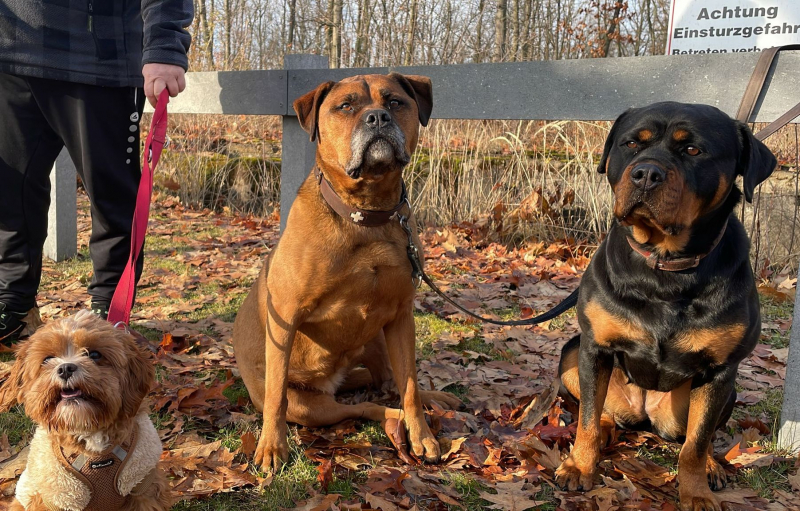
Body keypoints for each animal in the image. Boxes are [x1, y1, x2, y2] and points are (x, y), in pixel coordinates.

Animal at [232, 73, 462, 472]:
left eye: (395, 102)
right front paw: (272, 446)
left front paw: (422, 434)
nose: (377, 118)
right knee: (366, 405)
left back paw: (429, 403)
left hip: (377, 340)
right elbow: (277, 395)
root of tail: (331, 383)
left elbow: (410, 384)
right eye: (345, 106)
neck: (366, 216)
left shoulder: (401, 316)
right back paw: (395, 417)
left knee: (388, 384)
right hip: (311, 407)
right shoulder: (284, 317)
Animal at [553, 102, 776, 511]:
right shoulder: (595, 348)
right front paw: (579, 467)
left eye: (693, 150)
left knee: (697, 436)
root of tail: (644, 416)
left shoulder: (720, 371)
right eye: (630, 144)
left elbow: (696, 444)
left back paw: (714, 466)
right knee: (601, 414)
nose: (645, 173)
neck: (665, 266)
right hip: (571, 355)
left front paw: (697, 492)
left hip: (725, 392)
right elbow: (587, 421)